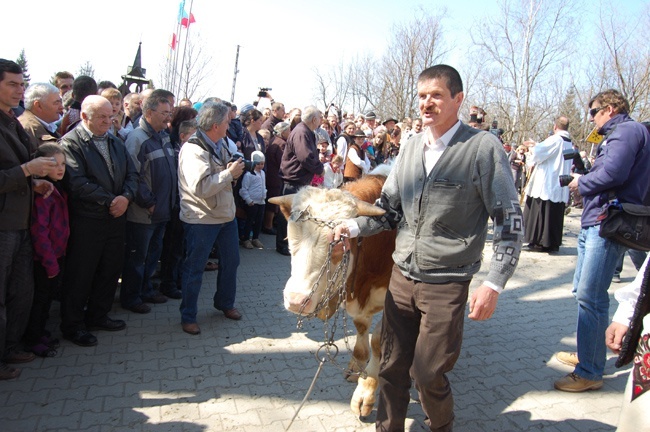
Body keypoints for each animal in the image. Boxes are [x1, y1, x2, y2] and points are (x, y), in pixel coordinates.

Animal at [270, 173, 394, 418]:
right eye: (290, 236)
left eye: (337, 244)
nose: (296, 300)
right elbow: (361, 331)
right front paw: (357, 365)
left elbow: (377, 340)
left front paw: (366, 391)